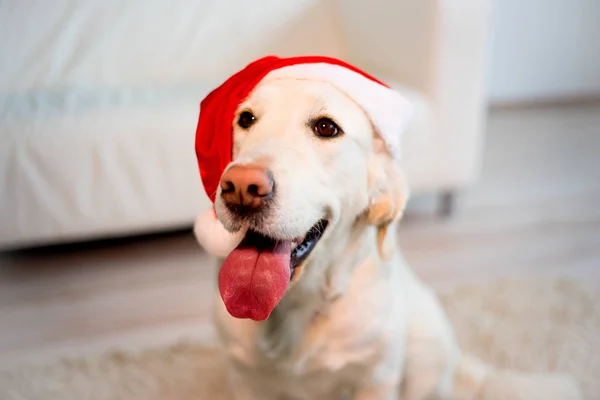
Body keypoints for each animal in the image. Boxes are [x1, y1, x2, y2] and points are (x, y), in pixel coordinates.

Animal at [195, 76, 584, 400]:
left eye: (326, 127)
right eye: (246, 119)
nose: (240, 187)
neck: (300, 305)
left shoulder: (376, 379)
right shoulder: (245, 380)